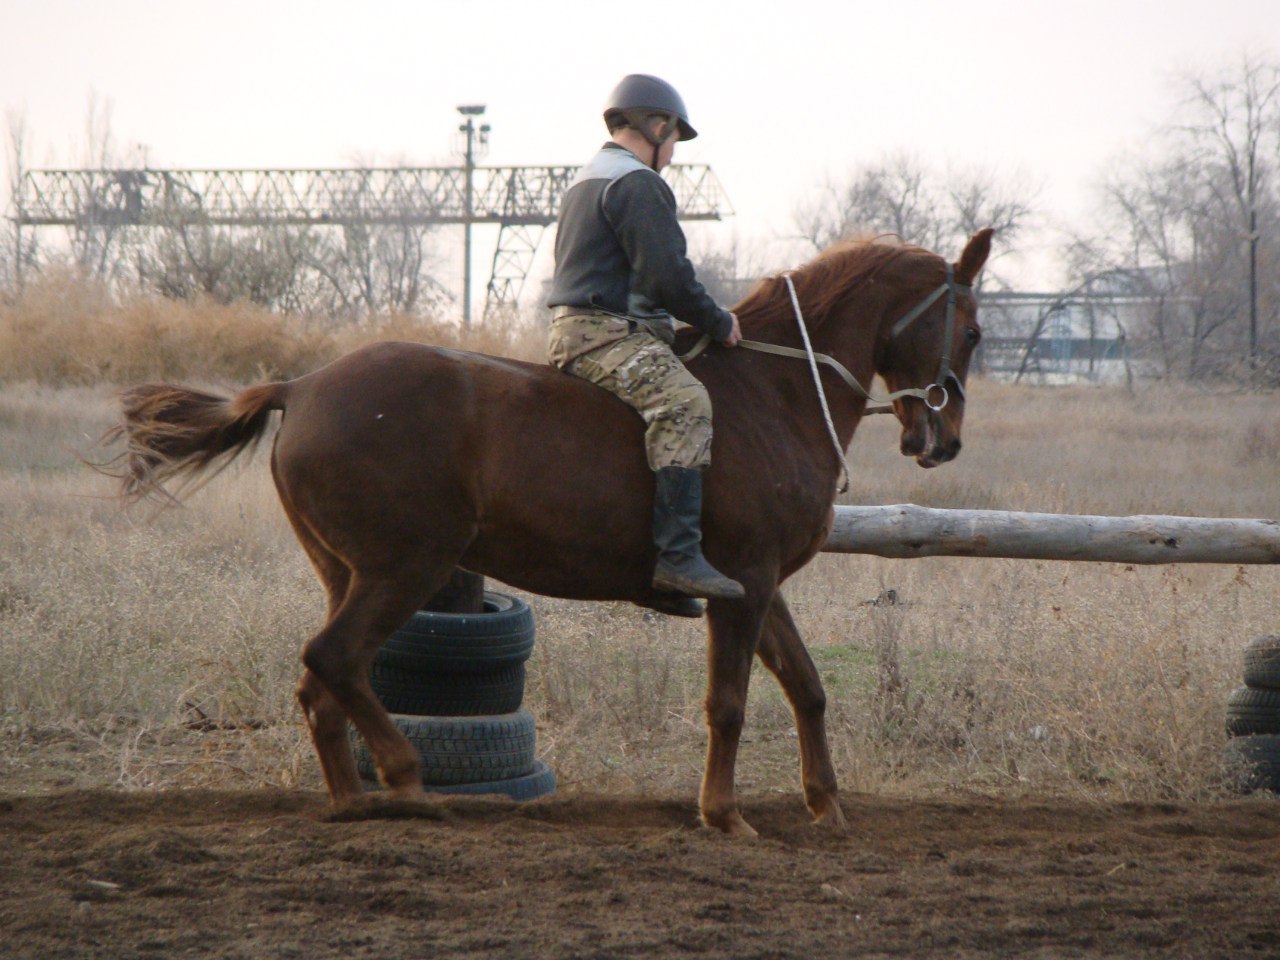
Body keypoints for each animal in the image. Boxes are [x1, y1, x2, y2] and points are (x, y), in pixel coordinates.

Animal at [107, 229, 988, 839]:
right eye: (976, 330)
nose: (944, 443)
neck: (774, 391)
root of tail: (305, 384)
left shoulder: (758, 586)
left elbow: (806, 687)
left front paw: (825, 806)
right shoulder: (743, 588)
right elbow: (730, 703)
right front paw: (725, 814)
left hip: (348, 572)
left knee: (322, 684)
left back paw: (355, 802)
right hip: (403, 570)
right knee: (334, 660)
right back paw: (407, 781)